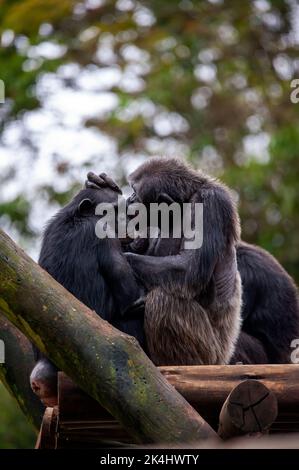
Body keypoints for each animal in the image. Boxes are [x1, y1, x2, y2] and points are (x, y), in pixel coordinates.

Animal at [123, 156, 299, 366]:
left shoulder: (212, 204)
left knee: (164, 300)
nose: (129, 199)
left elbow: (189, 269)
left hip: (211, 353)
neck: (185, 203)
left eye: (135, 192)